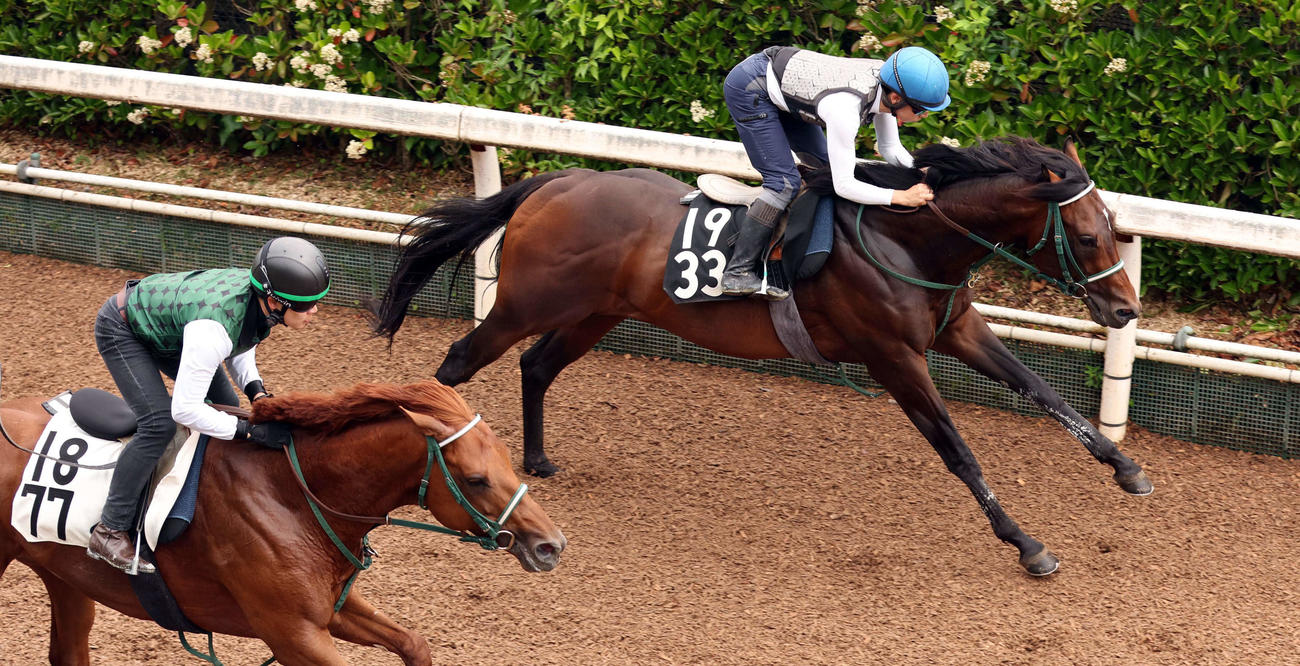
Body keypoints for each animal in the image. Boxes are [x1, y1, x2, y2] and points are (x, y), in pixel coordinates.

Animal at [0, 379, 566, 665]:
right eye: (475, 479)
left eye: (508, 461)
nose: (550, 546)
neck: (293, 494)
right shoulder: (292, 633)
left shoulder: (330, 609)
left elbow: (414, 644)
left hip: (65, 575)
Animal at [370, 136, 1152, 576]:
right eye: (1087, 237)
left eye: (1116, 226)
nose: (1125, 311)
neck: (909, 239)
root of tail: (558, 180)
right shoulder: (894, 356)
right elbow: (959, 452)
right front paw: (1027, 544)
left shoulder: (956, 329)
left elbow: (1044, 393)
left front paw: (1126, 470)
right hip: (526, 304)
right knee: (455, 365)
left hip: (597, 312)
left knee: (535, 368)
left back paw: (535, 461)